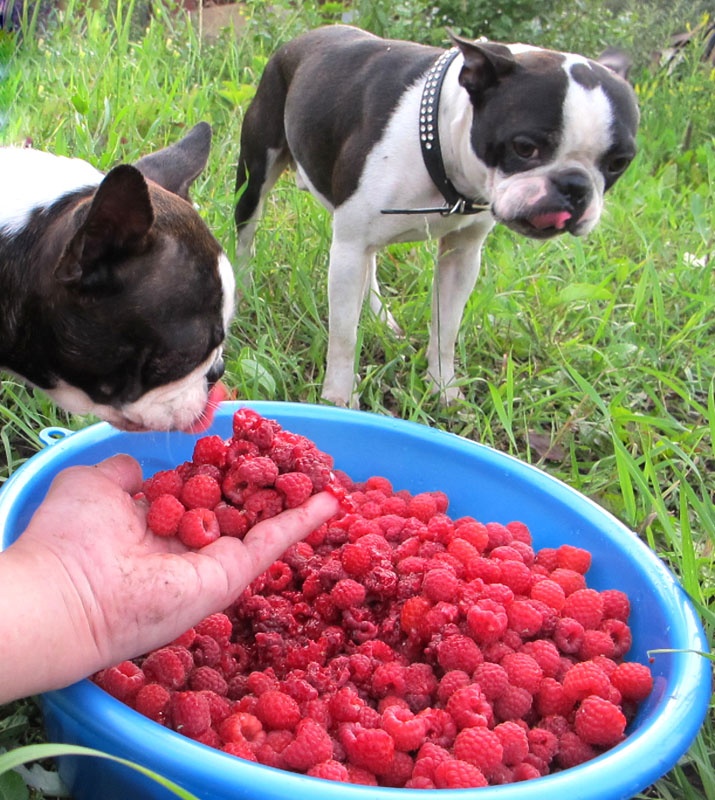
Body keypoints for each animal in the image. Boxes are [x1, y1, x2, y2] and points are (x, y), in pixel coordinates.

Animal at [235, 25, 639, 407]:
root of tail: (302, 39)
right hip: (256, 171)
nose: (574, 186)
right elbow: (344, 335)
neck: (437, 142)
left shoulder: (461, 255)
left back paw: (381, 316)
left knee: (373, 267)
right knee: (246, 235)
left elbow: (446, 328)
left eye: (619, 163)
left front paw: (443, 388)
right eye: (525, 147)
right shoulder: (349, 247)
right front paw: (339, 398)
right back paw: (240, 291)